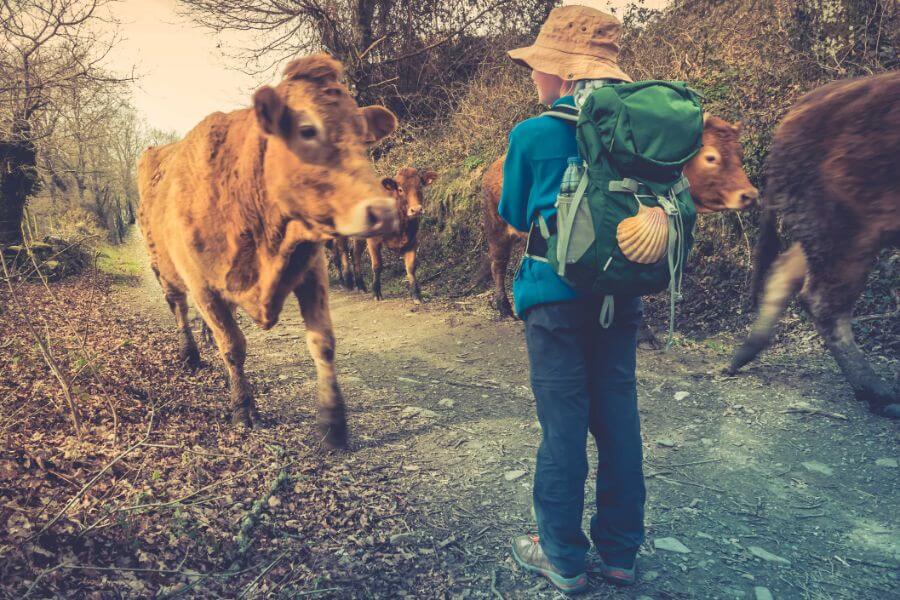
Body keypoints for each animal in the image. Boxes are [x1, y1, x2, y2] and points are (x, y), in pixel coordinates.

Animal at [137, 56, 398, 448]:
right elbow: (232, 346)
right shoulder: (203, 286)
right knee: (179, 307)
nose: (383, 211)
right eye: (307, 130)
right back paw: (190, 353)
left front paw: (333, 423)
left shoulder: (311, 269)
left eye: (363, 135)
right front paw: (243, 409)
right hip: (164, 269)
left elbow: (323, 343)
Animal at [332, 168, 442, 300]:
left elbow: (411, 267)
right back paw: (348, 282)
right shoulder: (373, 240)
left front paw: (416, 294)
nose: (416, 210)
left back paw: (361, 286)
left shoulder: (413, 240)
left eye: (420, 186)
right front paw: (376, 292)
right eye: (400, 189)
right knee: (343, 251)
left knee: (355, 254)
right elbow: (377, 266)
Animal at [486, 114, 760, 316]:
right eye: (711, 157)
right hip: (497, 230)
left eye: (741, 154)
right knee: (497, 265)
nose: (749, 194)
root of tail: (493, 165)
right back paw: (503, 306)